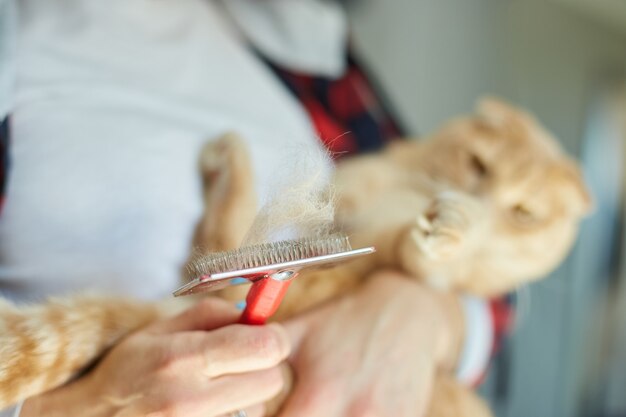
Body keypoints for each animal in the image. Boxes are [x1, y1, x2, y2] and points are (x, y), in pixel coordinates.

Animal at [0, 98, 588, 416]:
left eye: (524, 212)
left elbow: (422, 255)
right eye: (478, 164)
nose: (479, 200)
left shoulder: (396, 265)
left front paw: (451, 226)